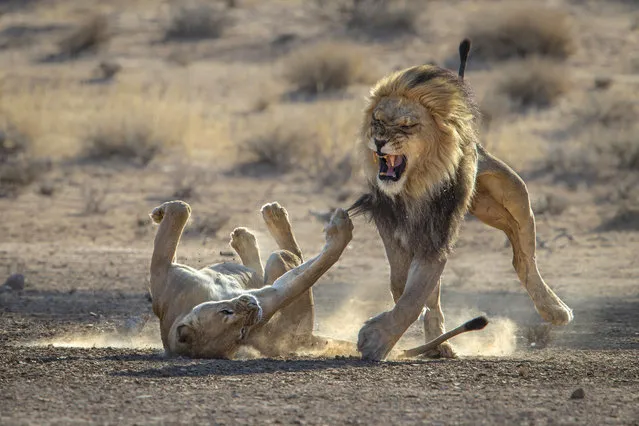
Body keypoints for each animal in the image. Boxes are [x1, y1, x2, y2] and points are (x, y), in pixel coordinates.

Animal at [149, 201, 352, 360]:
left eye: (225, 311)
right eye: (242, 332)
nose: (253, 308)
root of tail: (306, 339)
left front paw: (158, 213)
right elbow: (307, 276)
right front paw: (341, 229)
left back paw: (248, 233)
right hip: (278, 261)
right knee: (289, 254)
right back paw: (266, 221)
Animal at [350, 40, 576, 362]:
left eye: (407, 126)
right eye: (377, 121)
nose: (379, 141)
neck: (413, 187)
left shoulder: (437, 236)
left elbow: (414, 297)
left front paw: (376, 339)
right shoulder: (392, 230)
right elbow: (404, 286)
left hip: (514, 196)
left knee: (524, 259)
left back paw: (555, 310)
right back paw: (439, 344)